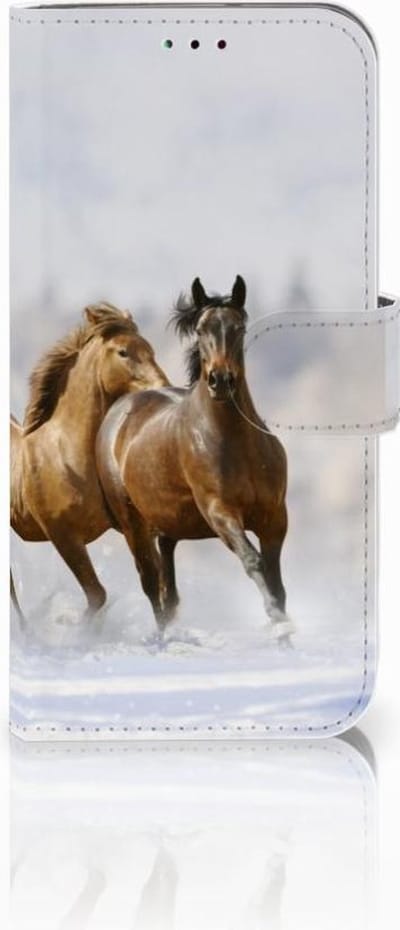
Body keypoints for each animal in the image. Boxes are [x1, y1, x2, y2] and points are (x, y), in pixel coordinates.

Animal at [11, 302, 169, 617]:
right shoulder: (64, 536)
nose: (162, 386)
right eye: (123, 352)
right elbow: (97, 595)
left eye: (150, 349)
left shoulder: (133, 527)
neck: (67, 455)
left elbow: (154, 582)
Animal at [96, 277, 293, 640]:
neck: (236, 444)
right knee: (151, 584)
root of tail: (119, 410)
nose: (220, 380)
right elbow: (253, 562)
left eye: (239, 327)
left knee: (168, 590)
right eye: (201, 330)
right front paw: (277, 623)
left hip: (168, 525)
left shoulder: (275, 517)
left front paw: (285, 633)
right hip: (133, 524)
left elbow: (276, 581)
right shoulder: (220, 512)